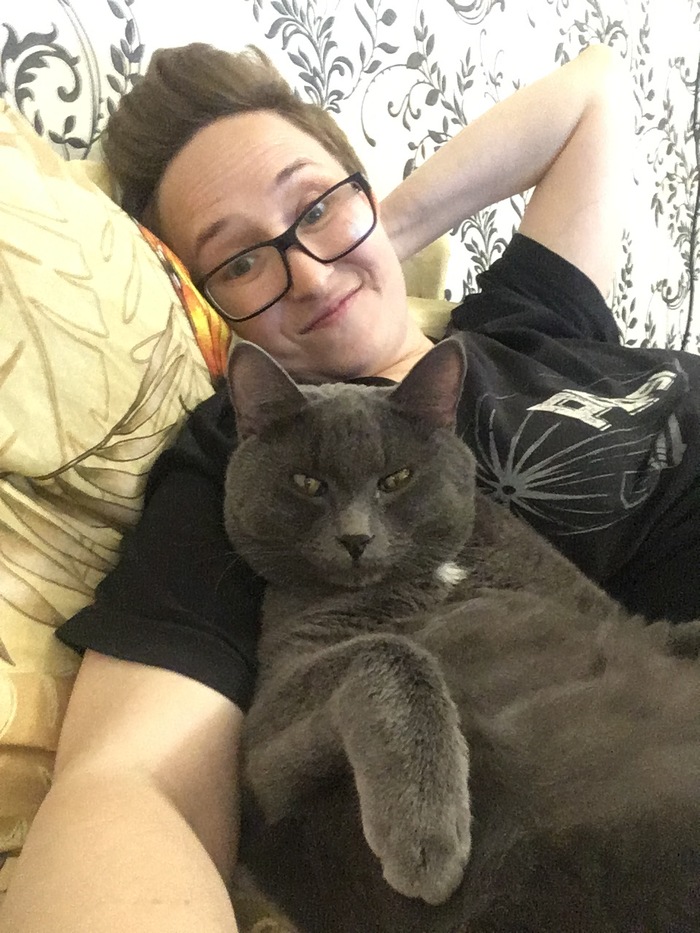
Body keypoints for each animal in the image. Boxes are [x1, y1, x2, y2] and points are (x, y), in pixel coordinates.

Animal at [223, 337, 700, 933]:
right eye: (307, 483)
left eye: (396, 479)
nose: (356, 538)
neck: (439, 576)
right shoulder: (262, 751)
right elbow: (393, 649)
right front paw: (429, 843)